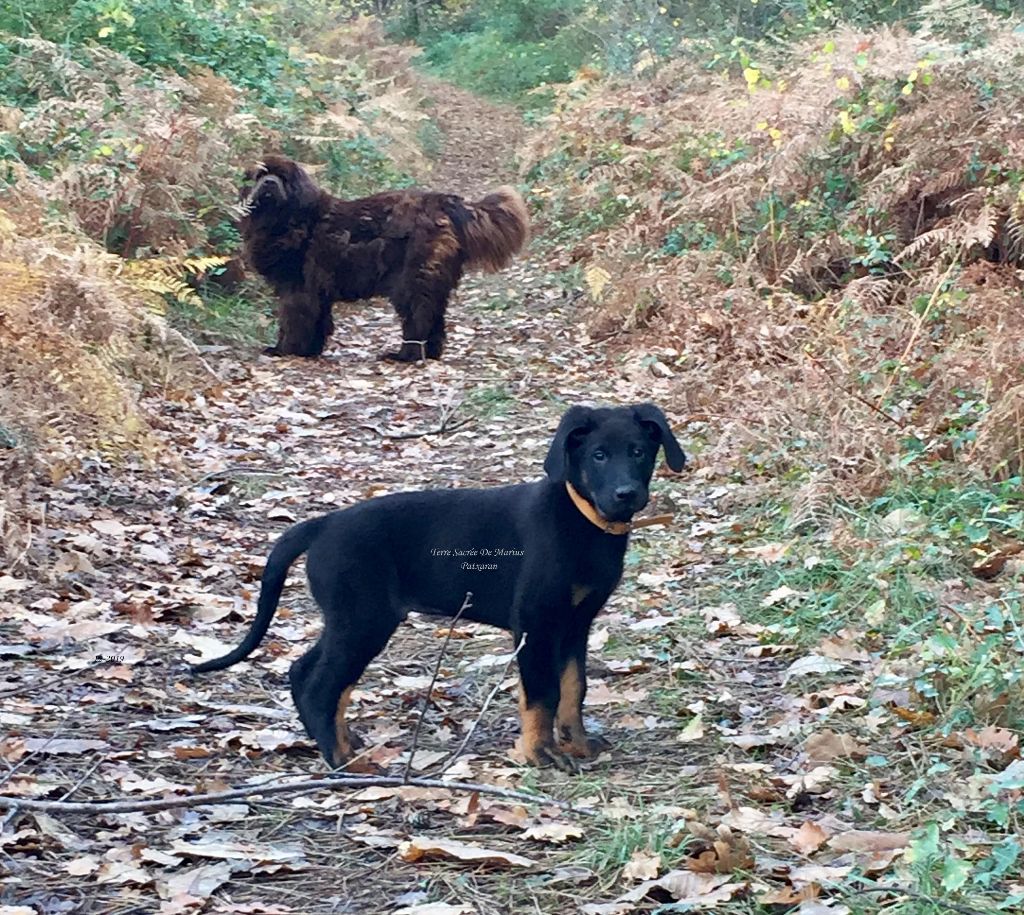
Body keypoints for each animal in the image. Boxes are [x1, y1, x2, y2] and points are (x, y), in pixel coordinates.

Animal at [192, 405, 688, 769]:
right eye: (598, 456)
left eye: (639, 451)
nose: (626, 495)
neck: (584, 522)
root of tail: (322, 525)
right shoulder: (535, 624)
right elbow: (541, 696)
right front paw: (538, 754)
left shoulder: (575, 623)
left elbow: (573, 688)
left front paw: (577, 745)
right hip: (364, 618)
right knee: (320, 684)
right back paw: (341, 762)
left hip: (352, 618)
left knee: (307, 673)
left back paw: (340, 743)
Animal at [237, 155, 528, 360]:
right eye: (260, 175)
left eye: (282, 178)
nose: (269, 183)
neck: (286, 219)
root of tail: (441, 202)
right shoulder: (315, 290)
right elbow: (317, 320)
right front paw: (308, 349)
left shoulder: (297, 287)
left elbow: (292, 320)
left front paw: (284, 349)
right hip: (432, 280)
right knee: (434, 318)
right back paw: (429, 353)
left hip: (411, 280)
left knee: (418, 319)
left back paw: (405, 355)